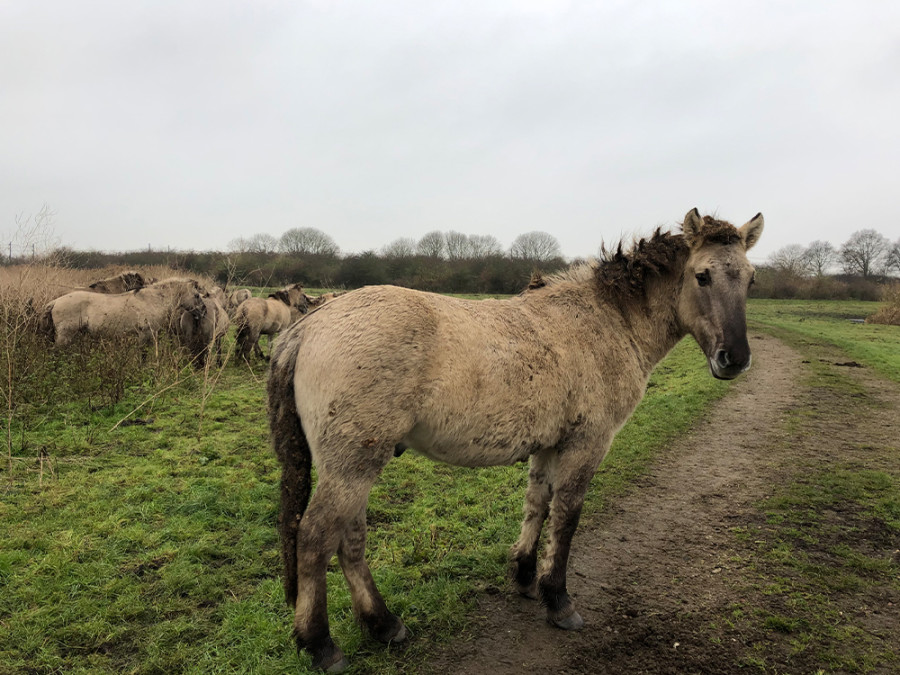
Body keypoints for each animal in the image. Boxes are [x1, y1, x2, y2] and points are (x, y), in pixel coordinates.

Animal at [41, 278, 207, 346]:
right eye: (196, 295)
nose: (204, 311)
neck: (153, 300)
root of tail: (55, 302)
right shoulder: (144, 335)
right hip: (65, 335)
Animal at [268, 210, 768, 672]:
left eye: (750, 279)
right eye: (702, 275)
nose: (735, 359)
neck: (608, 322)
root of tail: (307, 327)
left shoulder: (548, 444)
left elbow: (537, 504)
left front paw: (526, 576)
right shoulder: (587, 443)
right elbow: (567, 516)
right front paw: (559, 601)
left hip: (352, 463)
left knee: (349, 538)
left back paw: (383, 624)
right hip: (353, 464)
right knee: (315, 537)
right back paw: (320, 644)